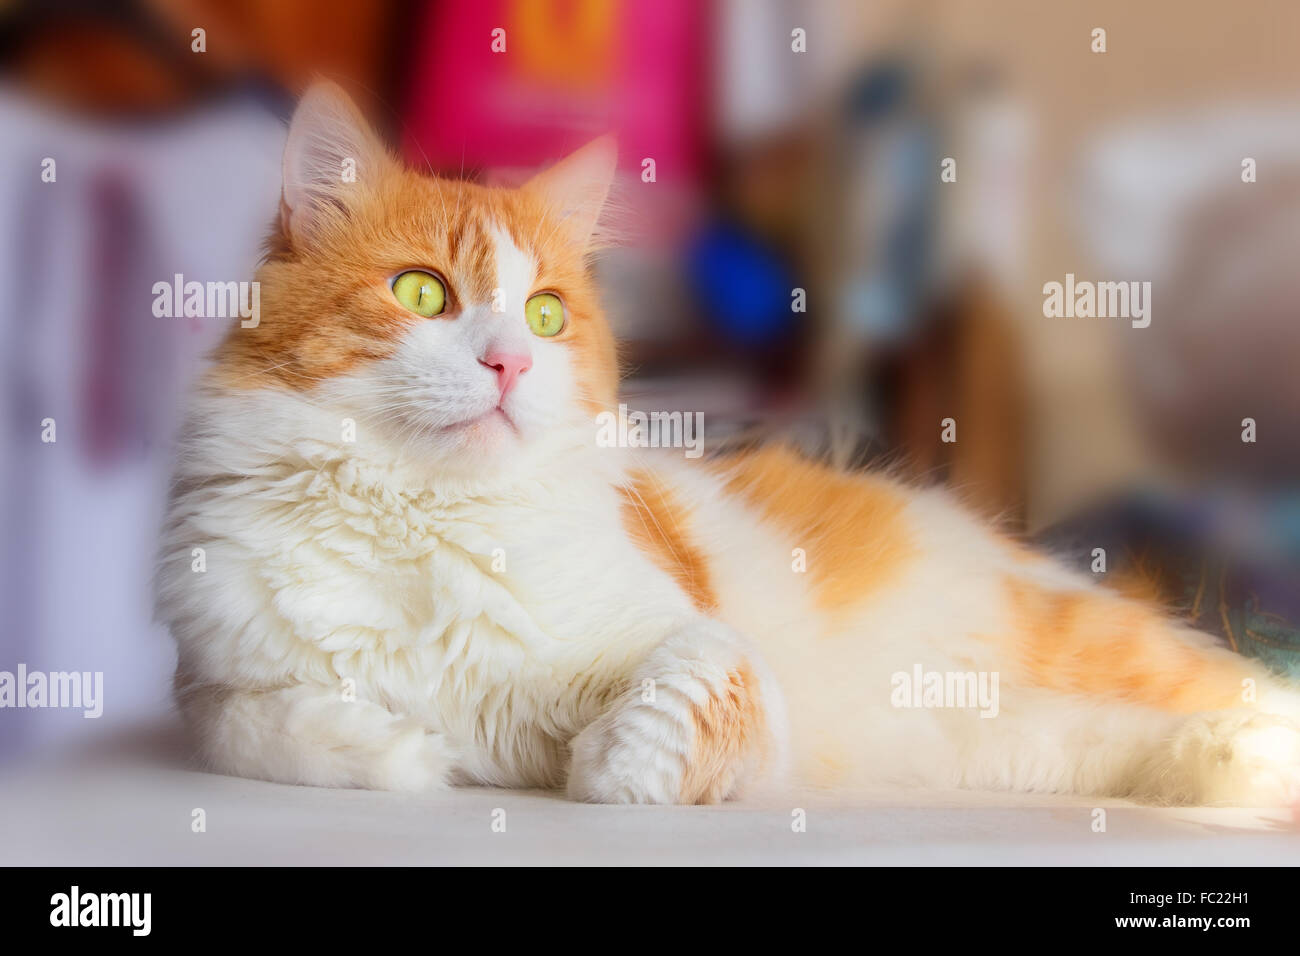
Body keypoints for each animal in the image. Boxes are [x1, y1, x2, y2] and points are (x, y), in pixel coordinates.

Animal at [157, 85, 1300, 806]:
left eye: (544, 316)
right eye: (422, 294)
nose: (510, 365)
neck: (426, 515)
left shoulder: (694, 635)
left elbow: (688, 692)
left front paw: (600, 761)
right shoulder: (212, 684)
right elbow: (260, 728)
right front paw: (401, 749)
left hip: (1073, 643)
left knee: (1241, 690)